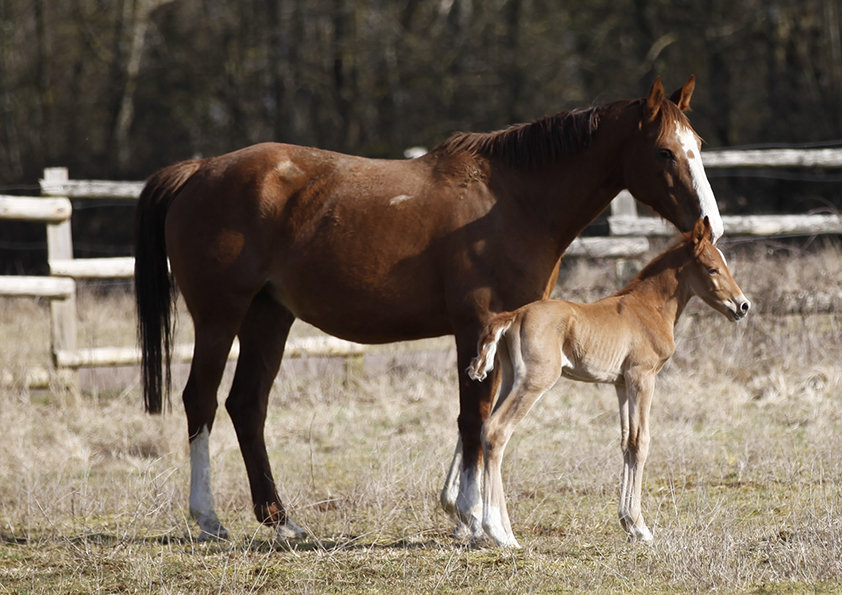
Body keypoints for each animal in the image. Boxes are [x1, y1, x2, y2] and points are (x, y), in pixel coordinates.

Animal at [466, 219, 748, 548]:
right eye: (712, 268)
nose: (743, 306)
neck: (647, 309)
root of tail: (514, 315)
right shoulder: (642, 376)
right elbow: (642, 441)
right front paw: (641, 527)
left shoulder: (621, 384)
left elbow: (627, 442)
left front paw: (628, 523)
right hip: (535, 381)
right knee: (497, 431)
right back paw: (501, 533)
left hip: (511, 378)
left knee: (488, 430)